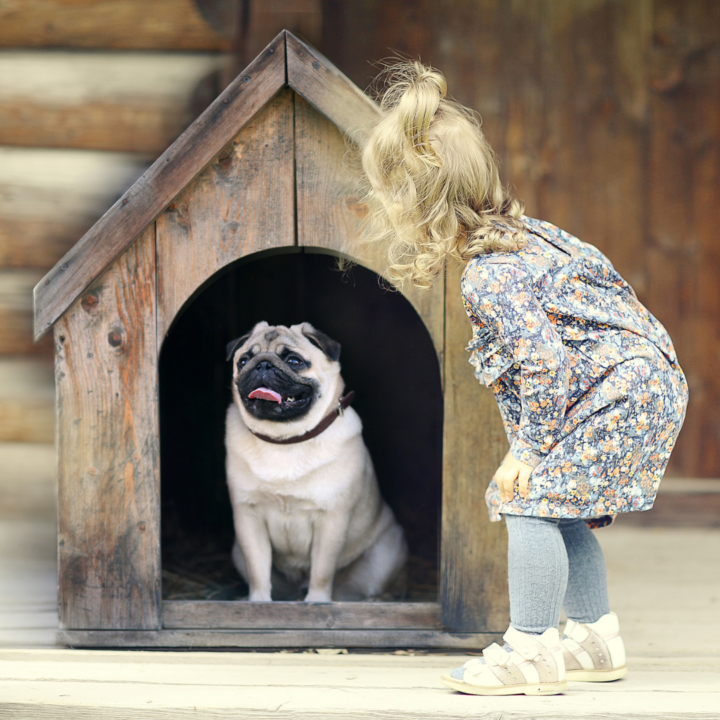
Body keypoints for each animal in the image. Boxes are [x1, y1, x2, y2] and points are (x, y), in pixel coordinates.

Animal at [225, 320, 408, 600]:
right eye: (243, 361)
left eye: (294, 361)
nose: (262, 365)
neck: (286, 440)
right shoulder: (248, 517)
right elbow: (257, 570)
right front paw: (259, 602)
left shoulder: (331, 519)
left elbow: (322, 570)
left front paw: (317, 602)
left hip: (384, 555)